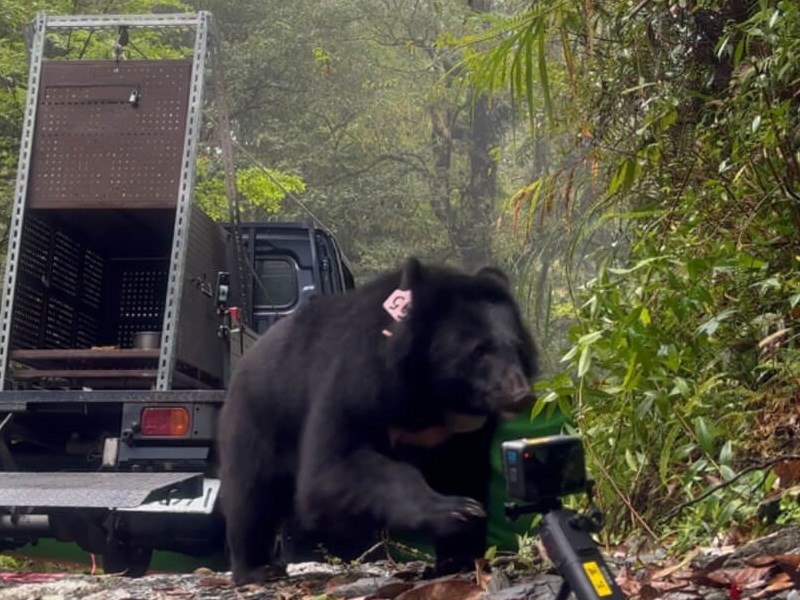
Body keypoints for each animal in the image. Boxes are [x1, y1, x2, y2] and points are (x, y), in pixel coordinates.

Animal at [215, 257, 538, 585]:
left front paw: (458, 553)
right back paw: (257, 569)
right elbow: (331, 471)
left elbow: (464, 473)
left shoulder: (463, 434)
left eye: (517, 348)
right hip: (259, 417)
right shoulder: (358, 381)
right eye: (479, 351)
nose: (521, 395)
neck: (435, 400)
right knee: (252, 494)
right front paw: (454, 511)